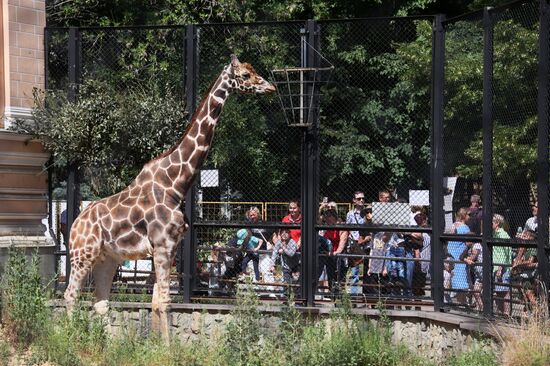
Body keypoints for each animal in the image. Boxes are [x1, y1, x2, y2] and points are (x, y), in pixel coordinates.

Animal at [64, 54, 276, 338]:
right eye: (244, 75)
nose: (270, 87)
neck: (176, 184)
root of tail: (75, 224)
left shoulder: (170, 247)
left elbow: (157, 302)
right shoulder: (163, 245)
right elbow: (163, 303)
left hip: (107, 259)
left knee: (100, 302)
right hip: (82, 255)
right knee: (70, 295)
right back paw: (65, 338)